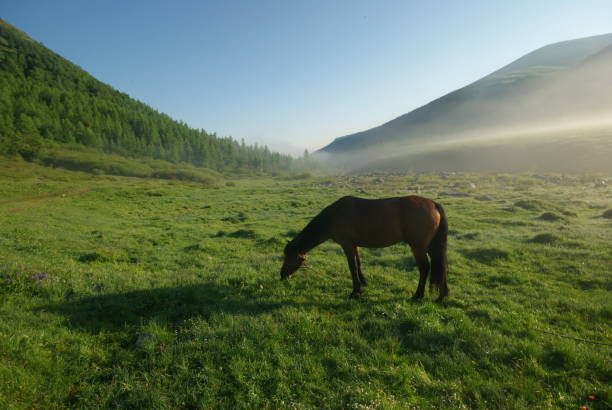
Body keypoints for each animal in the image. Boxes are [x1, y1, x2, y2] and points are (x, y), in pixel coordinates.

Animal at [280, 195, 448, 302]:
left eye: (289, 257)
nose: (282, 276)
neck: (334, 216)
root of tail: (433, 204)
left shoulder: (347, 244)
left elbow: (352, 266)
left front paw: (355, 291)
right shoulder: (354, 245)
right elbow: (358, 263)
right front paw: (363, 283)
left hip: (418, 247)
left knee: (425, 268)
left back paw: (418, 295)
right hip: (432, 246)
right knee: (441, 266)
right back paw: (442, 296)